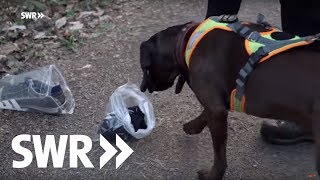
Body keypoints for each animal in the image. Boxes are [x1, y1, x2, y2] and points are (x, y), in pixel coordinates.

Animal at [139, 20, 320, 179]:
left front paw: (214, 175)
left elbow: (219, 151)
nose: (144, 88)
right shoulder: (217, 104)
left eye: (146, 69)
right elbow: (205, 113)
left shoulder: (216, 110)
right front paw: (192, 126)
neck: (185, 41)